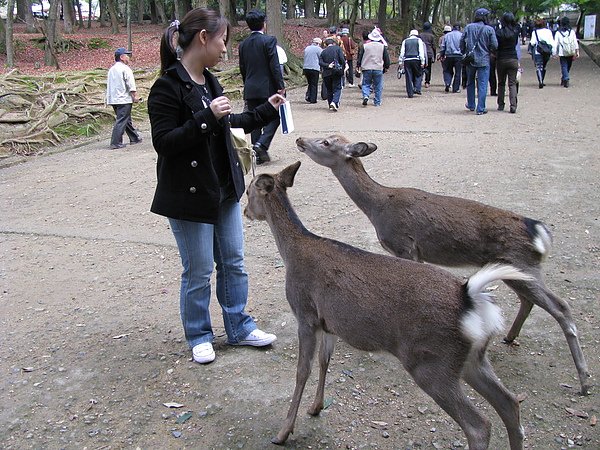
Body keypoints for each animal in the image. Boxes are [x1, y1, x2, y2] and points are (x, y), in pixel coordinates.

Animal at [246, 161, 532, 450]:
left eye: (248, 192)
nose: (246, 212)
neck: (292, 252)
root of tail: (470, 298)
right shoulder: (329, 324)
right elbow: (325, 361)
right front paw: (315, 407)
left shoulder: (305, 314)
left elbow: (302, 371)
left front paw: (283, 432)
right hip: (472, 357)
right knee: (509, 403)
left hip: (431, 362)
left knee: (479, 425)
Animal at [296, 134, 592, 394]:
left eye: (326, 142)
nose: (300, 140)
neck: (377, 208)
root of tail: (539, 231)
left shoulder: (405, 245)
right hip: (515, 270)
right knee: (528, 300)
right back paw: (509, 336)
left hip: (524, 264)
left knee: (561, 306)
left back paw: (584, 381)